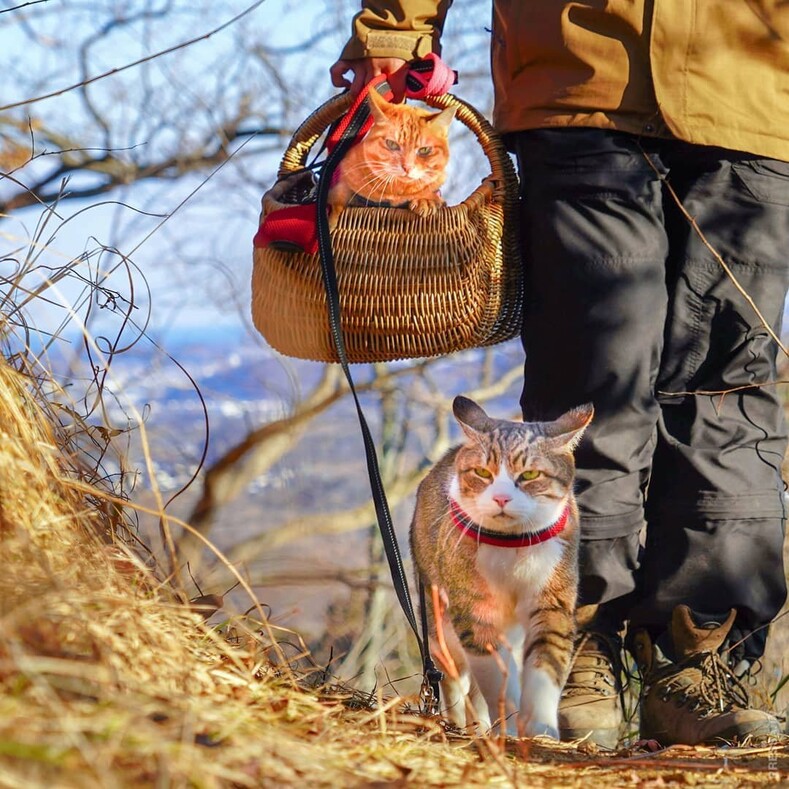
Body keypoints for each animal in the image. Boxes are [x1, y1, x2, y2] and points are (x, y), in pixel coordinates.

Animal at [412, 398, 592, 736]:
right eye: (483, 472)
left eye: (530, 474)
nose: (501, 498)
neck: (513, 545)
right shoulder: (475, 613)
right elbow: (496, 678)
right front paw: (507, 726)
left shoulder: (552, 600)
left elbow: (545, 665)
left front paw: (540, 728)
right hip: (438, 623)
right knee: (453, 677)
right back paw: (460, 723)